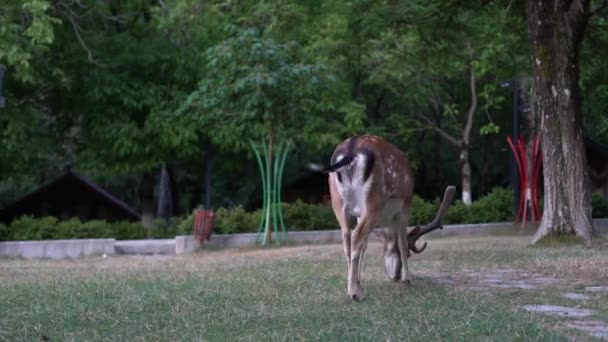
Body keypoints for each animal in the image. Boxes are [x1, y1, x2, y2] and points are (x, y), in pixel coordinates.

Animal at [312, 135, 454, 300]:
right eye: (409, 254)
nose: (396, 276)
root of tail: (351, 149)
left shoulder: (359, 214)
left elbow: (365, 246)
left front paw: (359, 281)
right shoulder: (405, 207)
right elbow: (402, 242)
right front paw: (408, 279)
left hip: (337, 201)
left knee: (347, 237)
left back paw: (353, 287)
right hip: (374, 200)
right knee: (356, 235)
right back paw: (354, 293)